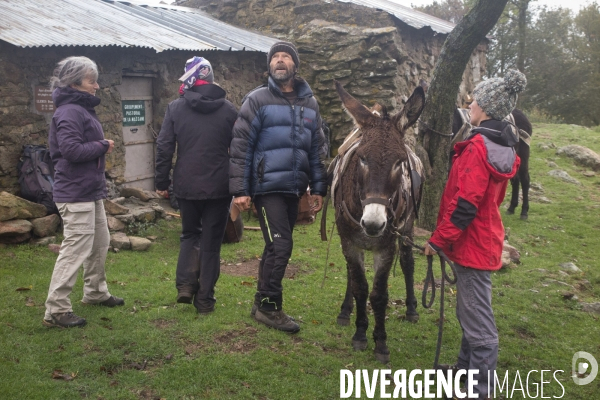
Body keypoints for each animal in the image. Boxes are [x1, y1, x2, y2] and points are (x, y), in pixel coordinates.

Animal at [332, 80, 426, 362]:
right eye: (361, 158)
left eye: (399, 162)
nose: (373, 224)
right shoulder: (349, 241)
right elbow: (360, 287)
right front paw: (360, 334)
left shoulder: (386, 246)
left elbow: (380, 295)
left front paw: (381, 342)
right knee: (351, 275)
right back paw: (345, 310)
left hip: (406, 229)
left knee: (407, 263)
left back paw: (412, 310)